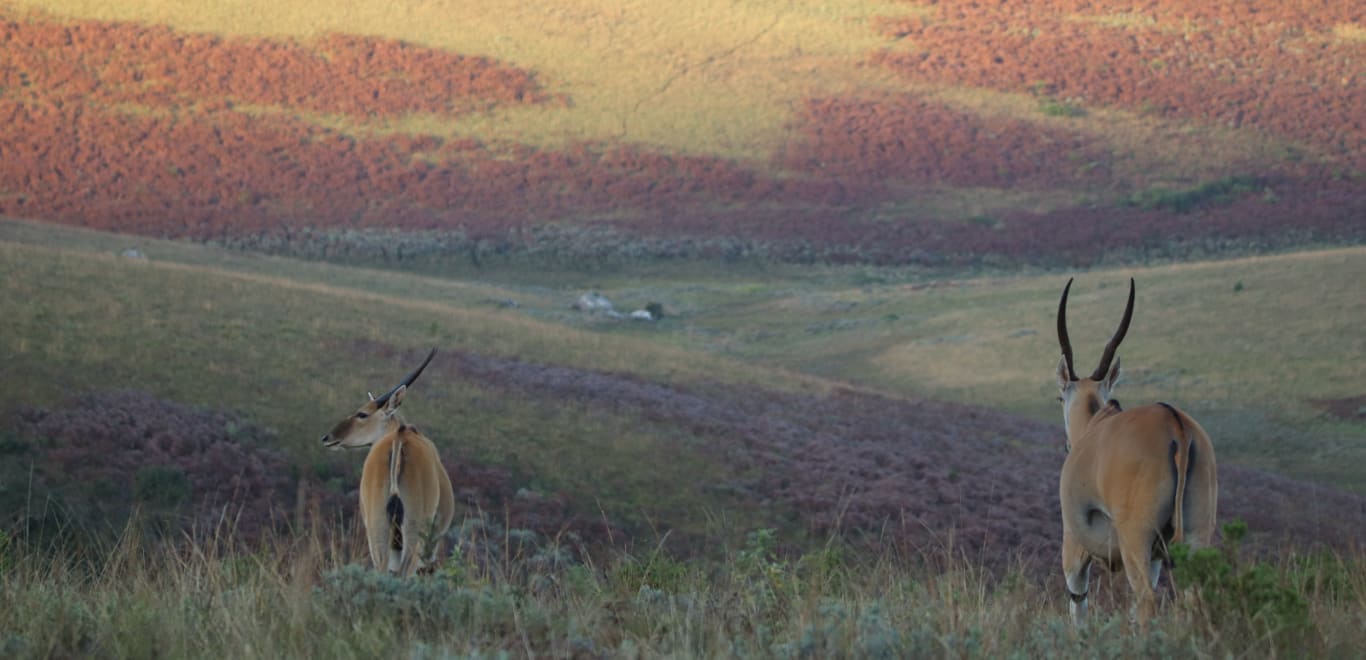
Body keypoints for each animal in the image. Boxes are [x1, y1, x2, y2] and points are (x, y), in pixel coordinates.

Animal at [1049, 277, 1223, 625]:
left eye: (1061, 397)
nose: (1068, 445)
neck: (1097, 423)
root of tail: (1175, 424)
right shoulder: (1156, 557)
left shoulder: (1073, 547)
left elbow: (1078, 605)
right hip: (1195, 536)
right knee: (1190, 600)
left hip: (1135, 542)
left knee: (1146, 601)